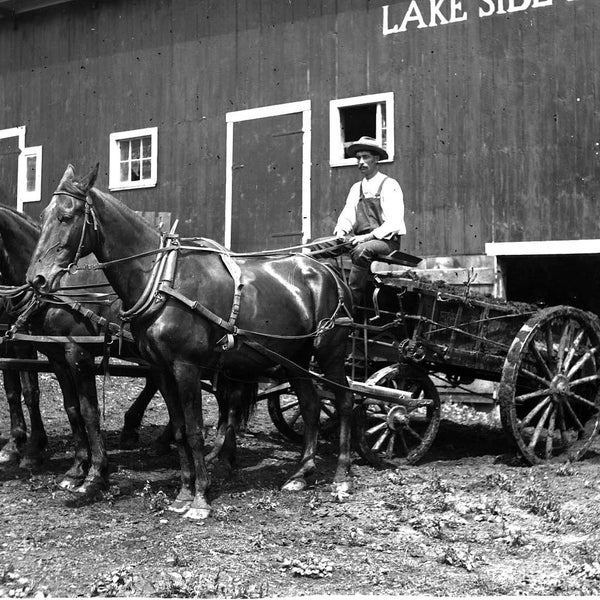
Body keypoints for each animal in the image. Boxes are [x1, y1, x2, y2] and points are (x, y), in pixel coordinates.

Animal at [0, 204, 165, 494]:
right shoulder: (51, 354)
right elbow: (69, 408)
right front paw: (76, 467)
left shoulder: (73, 353)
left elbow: (82, 409)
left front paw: (93, 472)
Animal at [28, 165, 354, 520]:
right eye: (43, 215)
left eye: (66, 216)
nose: (37, 278)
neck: (162, 279)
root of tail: (326, 271)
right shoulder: (162, 369)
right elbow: (180, 429)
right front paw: (183, 493)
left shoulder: (185, 367)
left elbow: (195, 429)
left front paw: (200, 499)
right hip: (294, 357)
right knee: (310, 404)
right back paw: (301, 474)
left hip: (330, 353)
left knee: (344, 400)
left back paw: (342, 478)